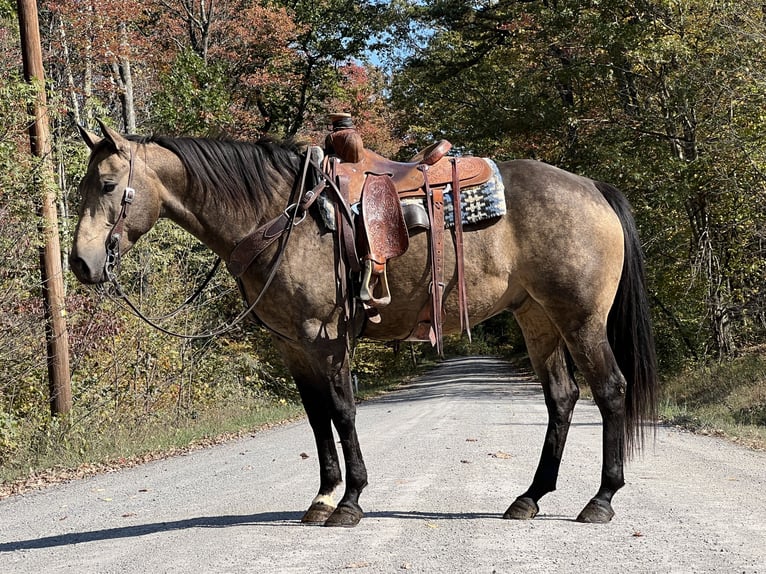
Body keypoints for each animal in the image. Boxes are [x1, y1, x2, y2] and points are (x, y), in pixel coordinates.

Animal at [69, 122, 660, 532]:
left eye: (107, 184)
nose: (81, 263)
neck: (283, 217)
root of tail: (592, 187)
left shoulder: (326, 338)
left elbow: (344, 412)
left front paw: (350, 502)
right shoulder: (293, 346)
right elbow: (316, 418)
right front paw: (323, 496)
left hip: (580, 319)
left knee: (610, 391)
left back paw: (600, 500)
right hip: (537, 317)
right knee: (561, 398)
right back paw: (529, 498)